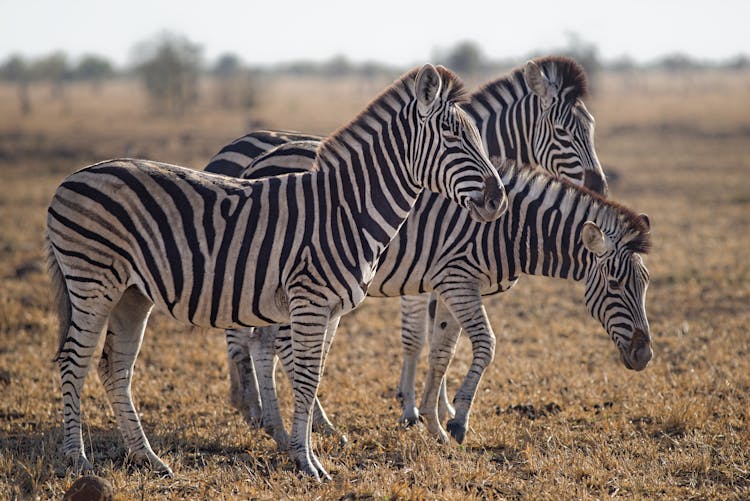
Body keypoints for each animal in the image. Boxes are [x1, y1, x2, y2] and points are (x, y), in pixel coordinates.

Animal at [44, 63, 508, 480]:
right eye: (451, 135)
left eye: (477, 137)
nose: (498, 200)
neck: (348, 209)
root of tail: (70, 179)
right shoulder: (310, 301)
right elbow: (304, 378)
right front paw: (307, 463)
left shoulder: (331, 310)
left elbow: (314, 377)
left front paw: (306, 451)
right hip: (92, 282)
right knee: (74, 361)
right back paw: (78, 460)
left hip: (131, 294)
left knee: (114, 368)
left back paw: (148, 459)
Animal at [223, 144, 652, 446]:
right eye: (615, 285)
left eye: (645, 285)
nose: (645, 357)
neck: (510, 228)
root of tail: (258, 162)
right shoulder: (459, 279)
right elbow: (486, 345)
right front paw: (458, 420)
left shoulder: (450, 286)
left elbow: (442, 353)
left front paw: (433, 423)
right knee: (278, 347)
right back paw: (300, 426)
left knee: (263, 344)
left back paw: (291, 426)